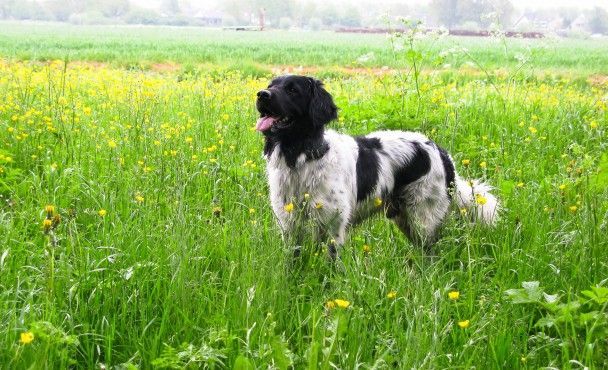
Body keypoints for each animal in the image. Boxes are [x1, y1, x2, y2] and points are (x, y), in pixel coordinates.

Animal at [254, 75, 496, 258]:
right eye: (271, 85)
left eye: (293, 90)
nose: (261, 94)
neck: (301, 157)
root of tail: (441, 152)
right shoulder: (289, 225)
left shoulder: (333, 227)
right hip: (406, 219)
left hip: (423, 219)